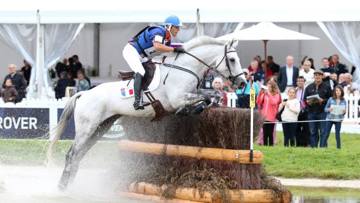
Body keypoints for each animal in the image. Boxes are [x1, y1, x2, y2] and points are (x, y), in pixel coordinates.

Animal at [47, 36, 245, 190]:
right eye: (232, 59)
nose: (242, 83)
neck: (186, 68)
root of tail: (84, 94)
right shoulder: (177, 98)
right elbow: (203, 98)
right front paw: (193, 108)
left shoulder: (191, 94)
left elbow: (211, 95)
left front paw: (202, 105)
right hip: (86, 128)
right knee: (72, 153)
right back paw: (62, 187)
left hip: (101, 127)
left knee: (79, 154)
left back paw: (71, 184)